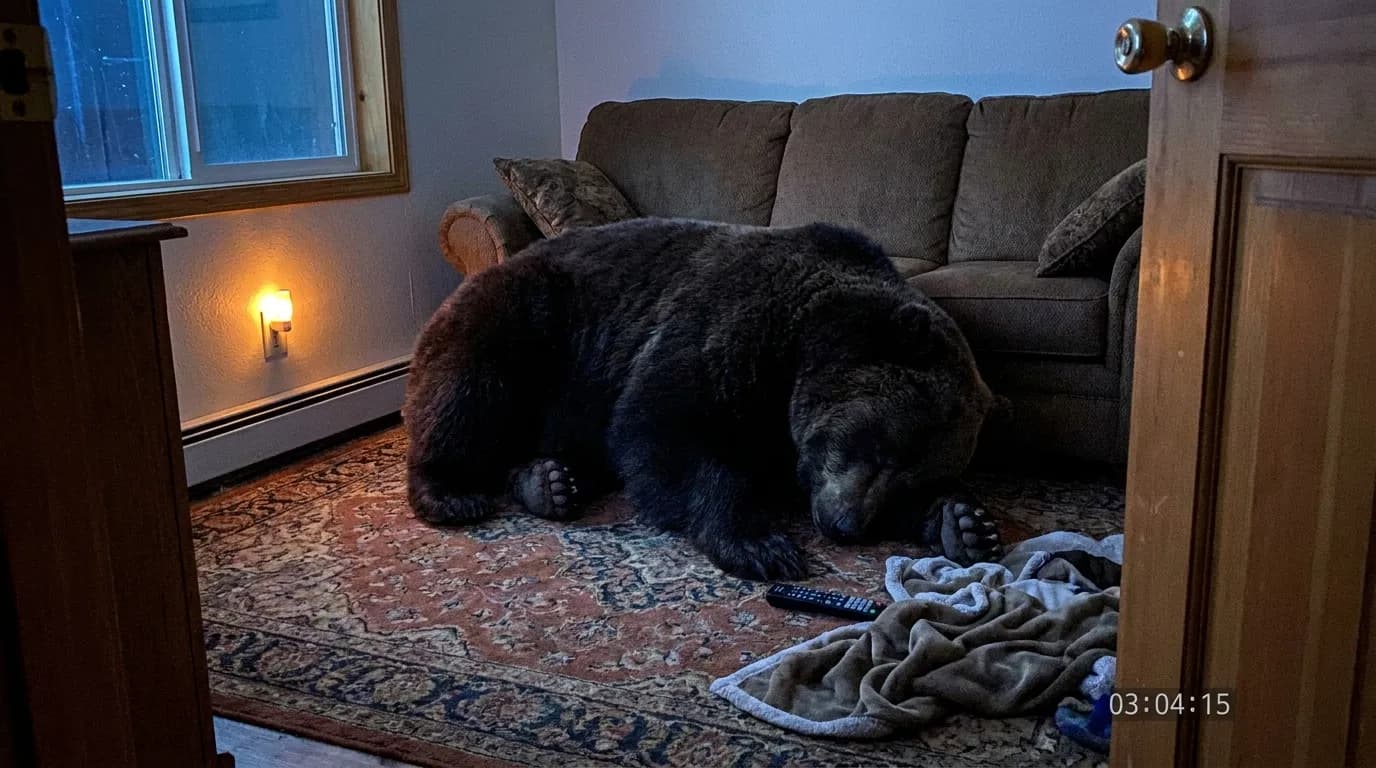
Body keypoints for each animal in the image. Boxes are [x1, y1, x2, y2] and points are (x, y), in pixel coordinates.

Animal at [403, 218, 1003, 580]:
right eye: (878, 446)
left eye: (911, 475)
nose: (846, 524)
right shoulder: (729, 327)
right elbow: (665, 425)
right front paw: (761, 545)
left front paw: (963, 523)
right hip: (526, 326)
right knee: (468, 395)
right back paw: (450, 493)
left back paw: (549, 481)